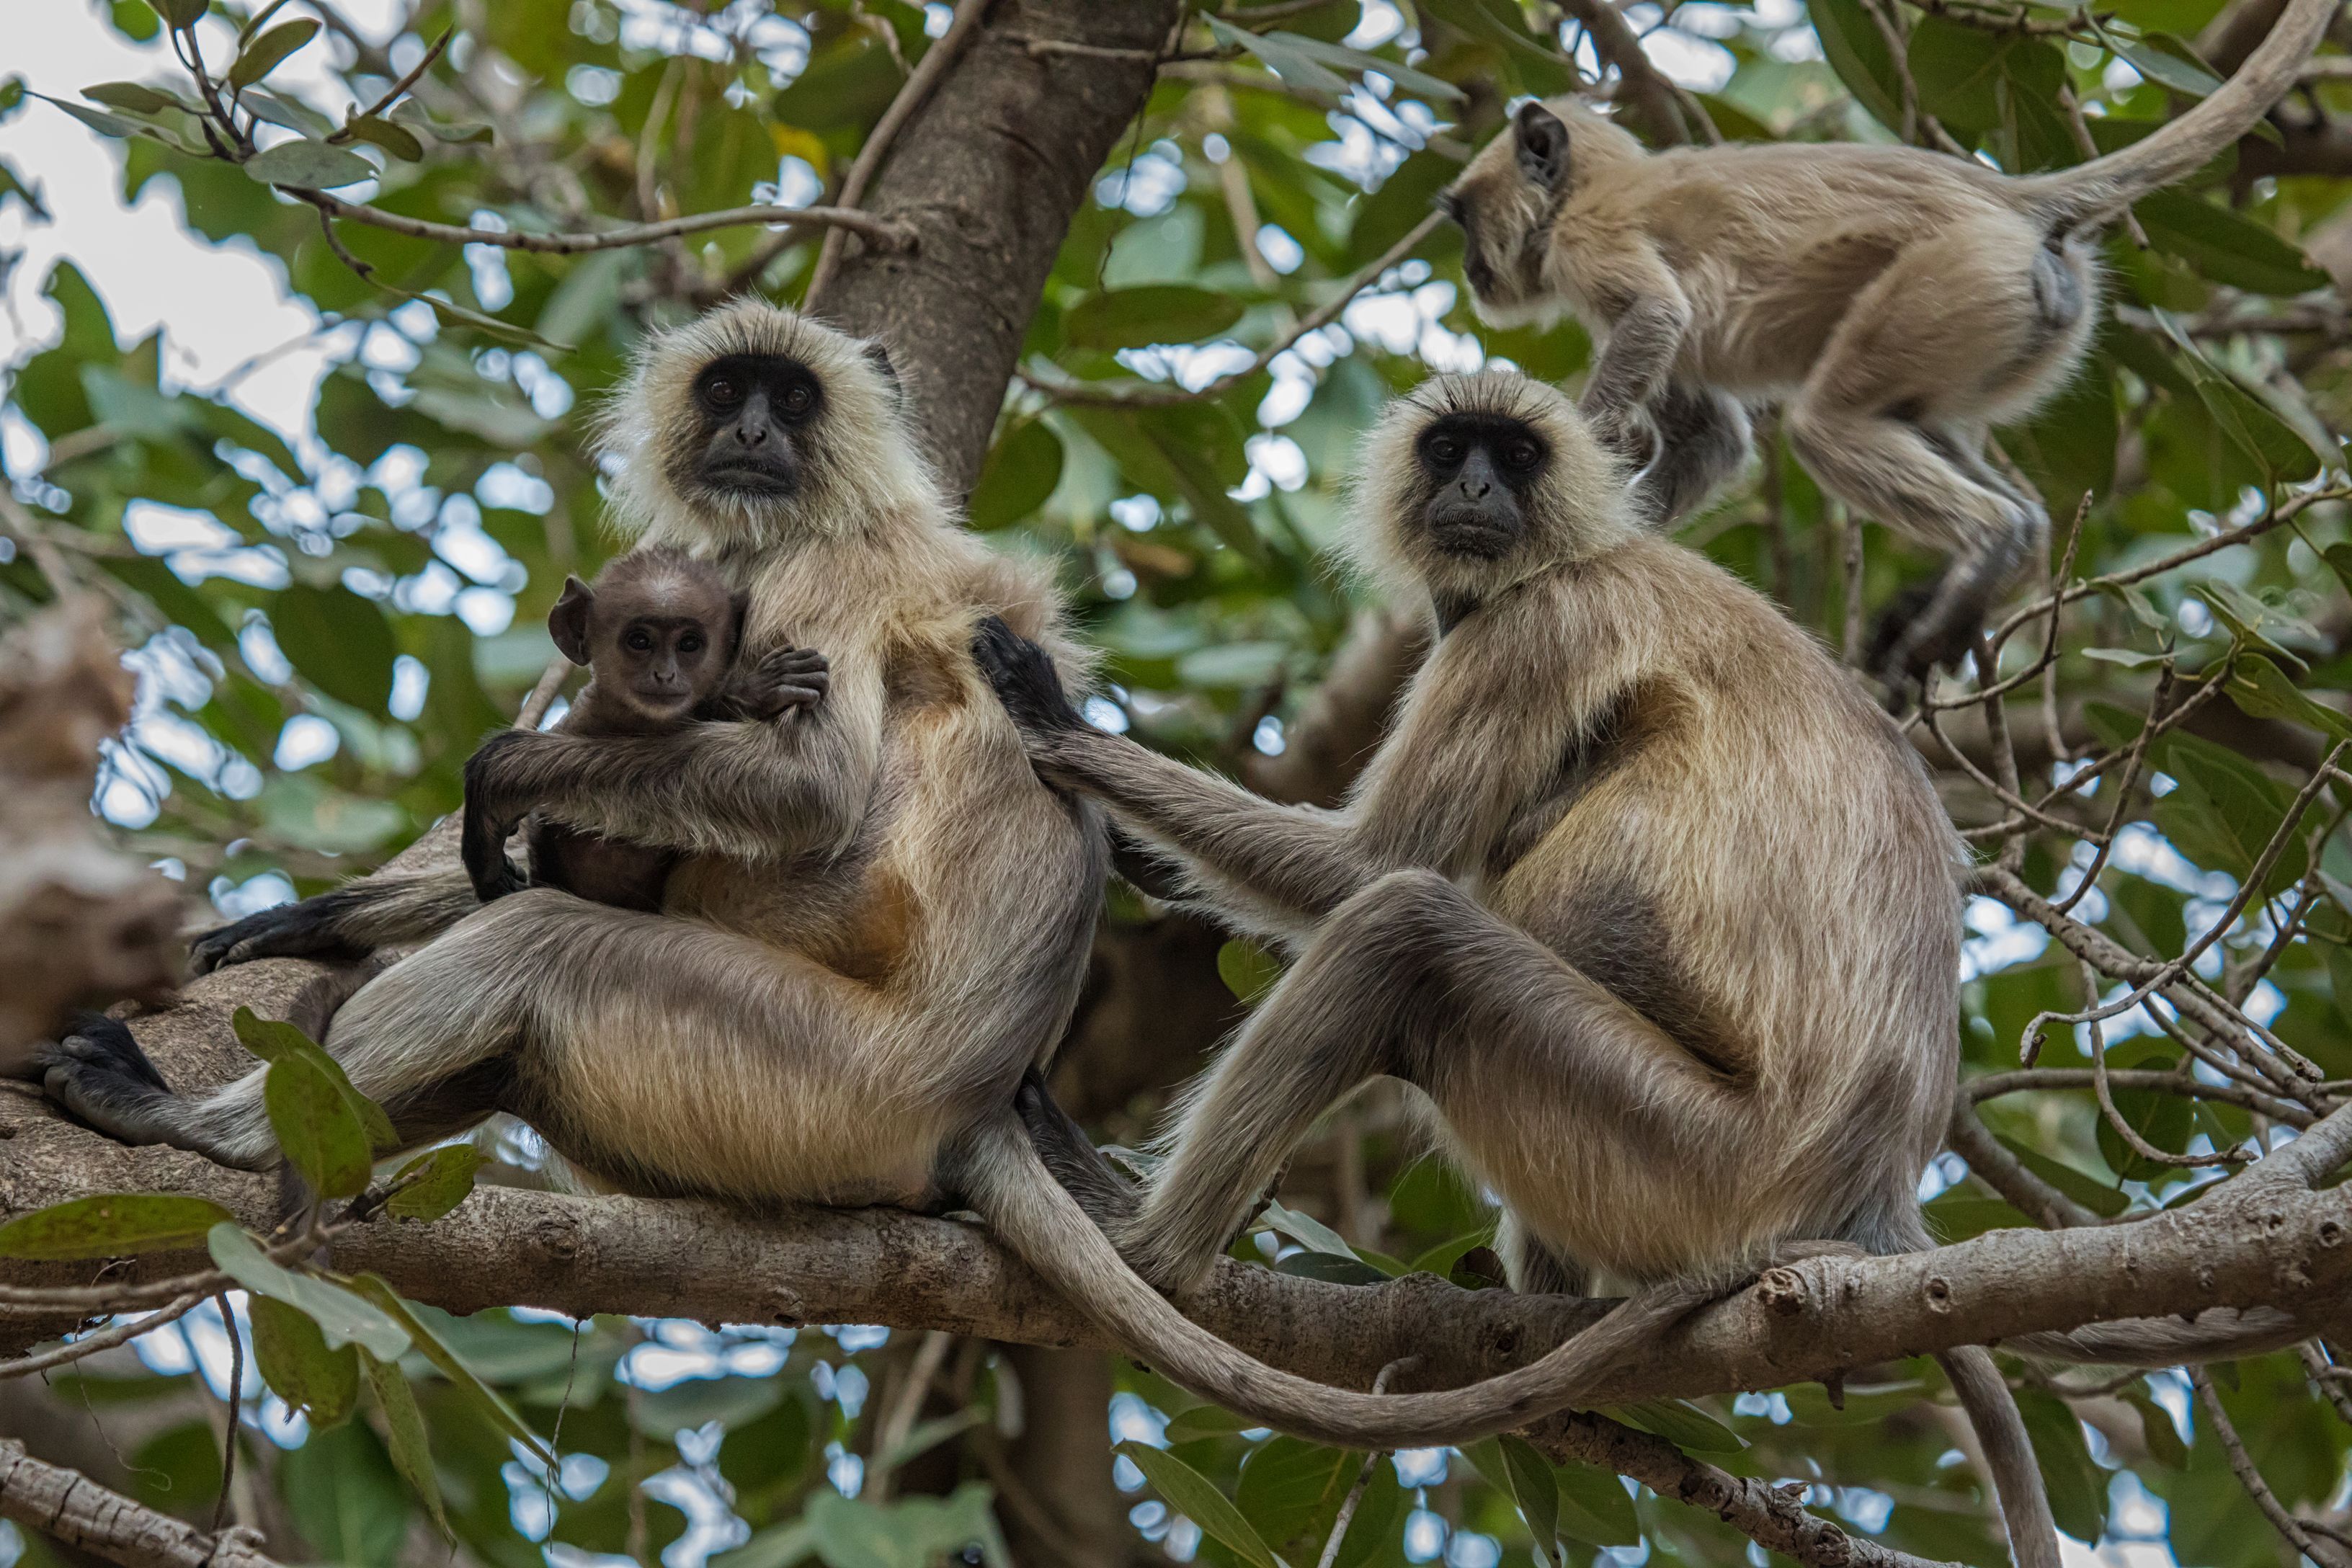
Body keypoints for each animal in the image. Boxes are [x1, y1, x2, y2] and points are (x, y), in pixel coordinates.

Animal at [1437, 0, 2334, 693]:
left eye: (1463, 218)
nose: (1469, 266)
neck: (1594, 183)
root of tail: (2007, 200)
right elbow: (1711, 440)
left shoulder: (1589, 238)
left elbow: (1658, 315)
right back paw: (1995, 567)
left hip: (1954, 275)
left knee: (1827, 425)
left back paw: (1989, 543)